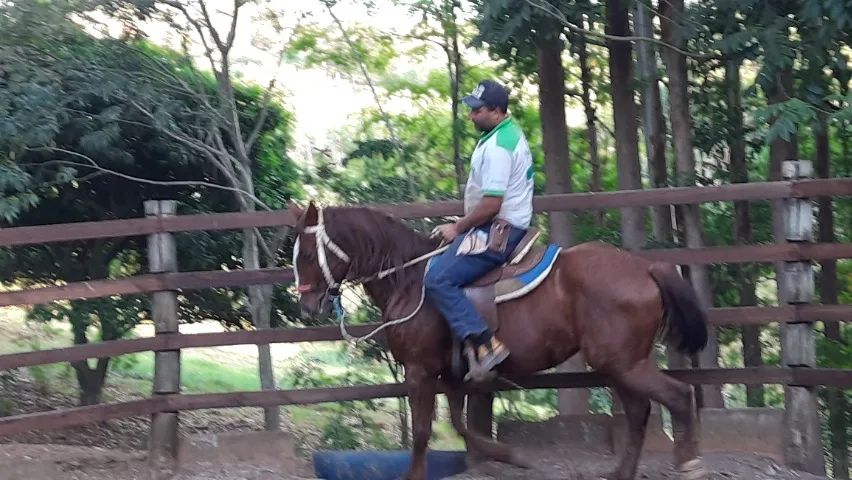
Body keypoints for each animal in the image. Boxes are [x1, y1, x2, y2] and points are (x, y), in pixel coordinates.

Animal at [289, 200, 709, 480]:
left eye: (307, 253)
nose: (307, 304)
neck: (410, 280)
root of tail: (645, 267)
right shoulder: (451, 375)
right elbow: (460, 425)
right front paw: (508, 456)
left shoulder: (420, 370)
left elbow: (424, 432)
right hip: (620, 364)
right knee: (640, 412)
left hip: (623, 363)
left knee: (676, 397)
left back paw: (689, 463)